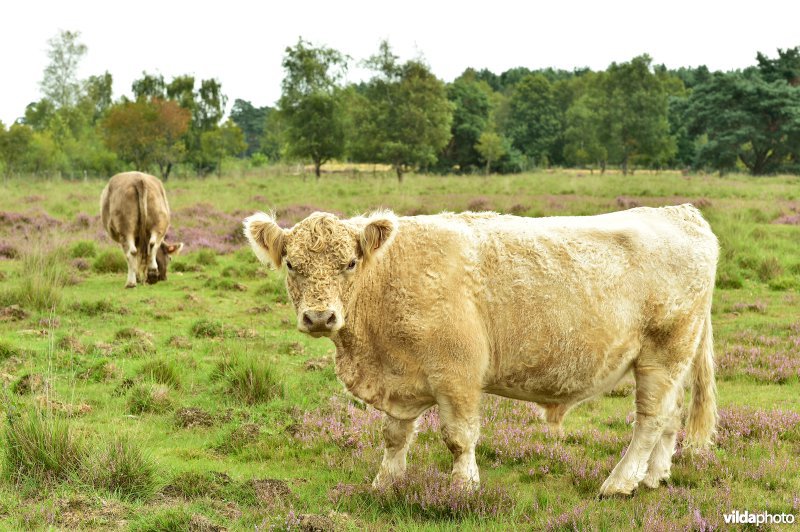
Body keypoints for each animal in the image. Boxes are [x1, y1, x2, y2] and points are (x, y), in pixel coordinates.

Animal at [242, 206, 720, 496]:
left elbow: (459, 437)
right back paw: (653, 477)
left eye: (349, 263)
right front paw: (386, 482)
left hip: (664, 352)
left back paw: (620, 483)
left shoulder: (457, 375)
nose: (319, 317)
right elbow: (395, 436)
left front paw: (462, 488)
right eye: (292, 264)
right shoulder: (401, 381)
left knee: (651, 419)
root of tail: (681, 213)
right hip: (672, 360)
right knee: (671, 416)